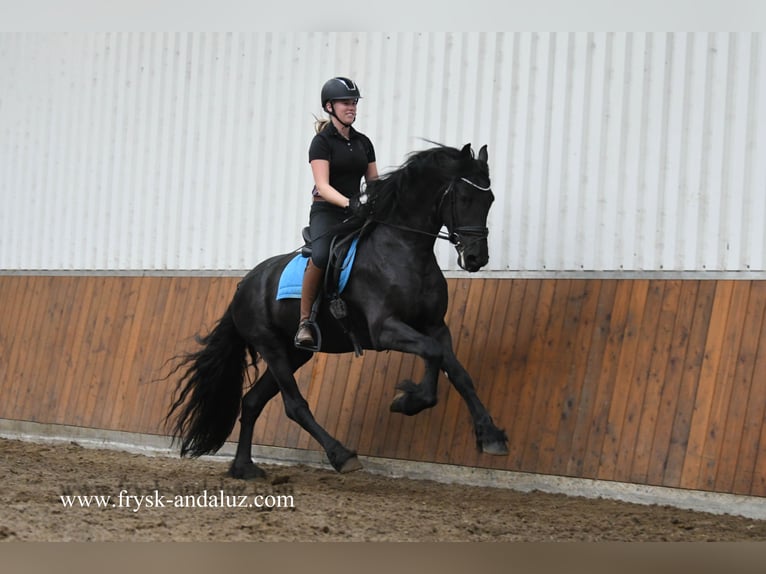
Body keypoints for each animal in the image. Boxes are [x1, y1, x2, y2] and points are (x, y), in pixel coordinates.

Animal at [168, 144, 510, 482]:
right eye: (464, 198)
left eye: (490, 200)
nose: (476, 258)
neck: (404, 248)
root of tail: (244, 284)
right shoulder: (385, 329)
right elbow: (433, 354)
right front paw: (408, 401)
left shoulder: (435, 326)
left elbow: (458, 372)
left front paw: (491, 436)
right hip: (271, 347)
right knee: (294, 405)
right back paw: (341, 455)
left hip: (294, 353)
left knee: (252, 402)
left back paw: (244, 467)